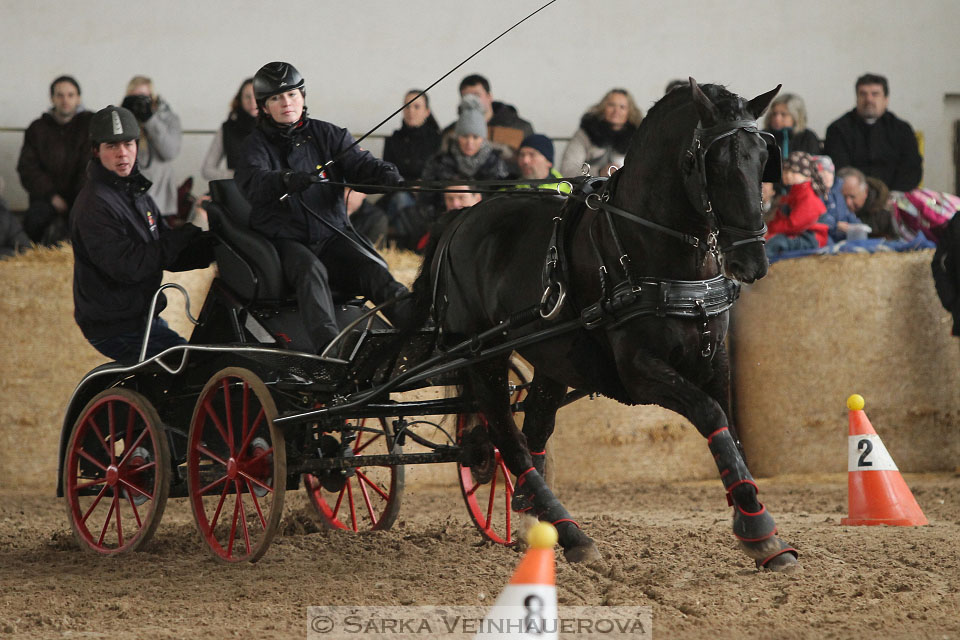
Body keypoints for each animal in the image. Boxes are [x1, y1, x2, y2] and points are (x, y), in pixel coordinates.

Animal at [412, 79, 796, 568]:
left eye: (764, 158)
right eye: (716, 163)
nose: (752, 263)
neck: (650, 248)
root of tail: (461, 217)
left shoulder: (715, 359)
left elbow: (728, 429)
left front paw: (755, 517)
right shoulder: (639, 370)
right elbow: (709, 413)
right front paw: (758, 528)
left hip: (552, 357)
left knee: (535, 428)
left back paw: (540, 519)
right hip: (482, 357)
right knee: (508, 438)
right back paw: (571, 531)